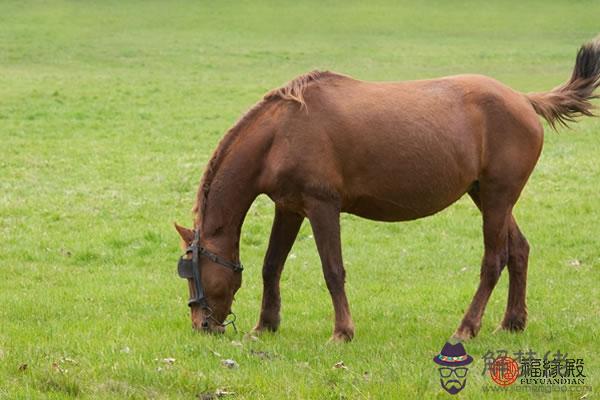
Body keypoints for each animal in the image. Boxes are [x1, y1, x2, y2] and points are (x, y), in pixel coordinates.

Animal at [173, 39, 600, 342]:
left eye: (192, 270)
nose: (200, 325)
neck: (281, 133)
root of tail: (524, 100)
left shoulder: (321, 206)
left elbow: (333, 270)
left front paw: (342, 331)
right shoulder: (289, 208)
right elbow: (271, 265)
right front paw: (266, 325)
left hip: (496, 198)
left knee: (494, 260)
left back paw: (466, 327)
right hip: (487, 195)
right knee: (519, 251)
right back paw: (512, 321)